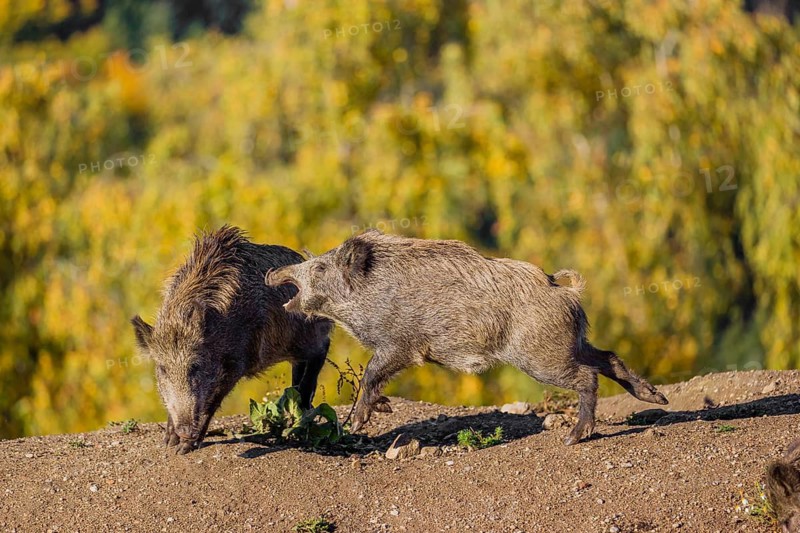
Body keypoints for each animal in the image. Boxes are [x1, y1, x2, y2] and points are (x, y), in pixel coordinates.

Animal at [131, 226, 333, 454]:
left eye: (196, 366)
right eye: (162, 369)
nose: (185, 431)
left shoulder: (237, 362)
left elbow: (212, 400)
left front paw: (184, 448)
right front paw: (169, 443)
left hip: (306, 335)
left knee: (322, 348)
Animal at [266, 230, 667, 445]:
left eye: (320, 267)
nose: (272, 273)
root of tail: (566, 292)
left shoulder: (400, 344)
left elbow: (371, 373)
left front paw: (358, 422)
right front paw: (383, 409)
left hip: (542, 357)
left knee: (589, 375)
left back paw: (573, 437)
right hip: (571, 344)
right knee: (608, 357)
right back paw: (655, 398)